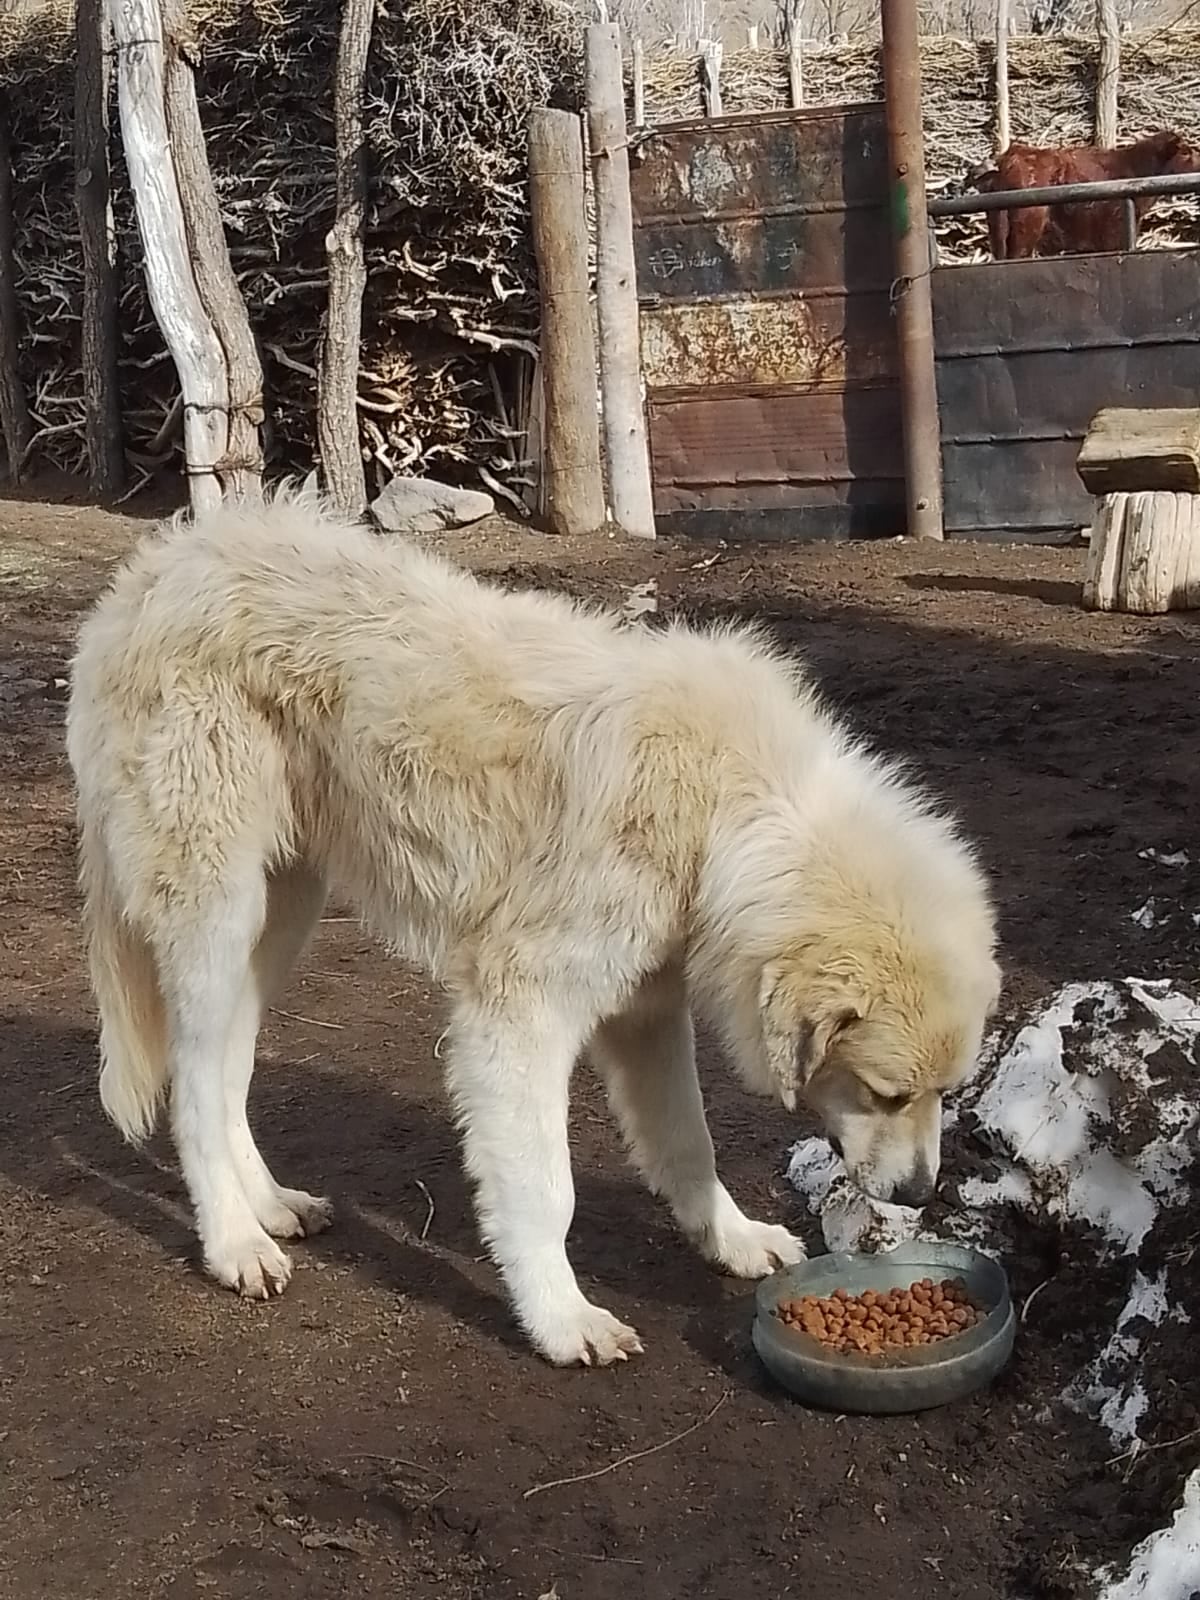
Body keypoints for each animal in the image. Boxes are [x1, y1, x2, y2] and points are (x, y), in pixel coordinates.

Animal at [68, 483, 1004, 1363]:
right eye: (888, 1094)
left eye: (944, 1093)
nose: (922, 1195)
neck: (725, 808)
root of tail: (155, 569)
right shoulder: (518, 1012)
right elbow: (546, 1190)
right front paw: (561, 1320)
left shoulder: (647, 1012)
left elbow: (688, 1144)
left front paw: (731, 1241)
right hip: (217, 913)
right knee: (193, 1081)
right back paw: (233, 1244)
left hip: (278, 915)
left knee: (230, 1067)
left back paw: (269, 1207)